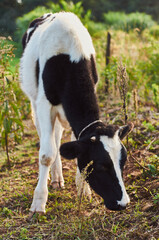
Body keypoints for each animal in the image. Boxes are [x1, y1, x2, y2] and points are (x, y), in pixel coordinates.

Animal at [19, 12, 133, 213]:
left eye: (123, 162)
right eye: (101, 166)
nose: (123, 203)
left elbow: (74, 143)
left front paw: (83, 189)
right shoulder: (44, 104)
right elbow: (46, 154)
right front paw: (39, 202)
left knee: (57, 138)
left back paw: (58, 178)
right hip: (34, 102)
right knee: (48, 140)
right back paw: (53, 179)